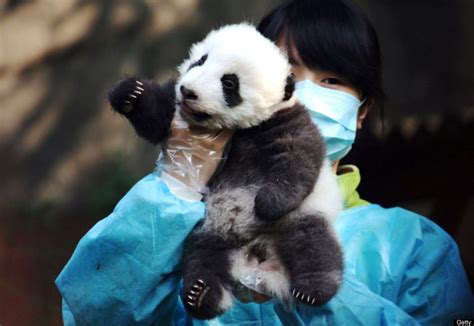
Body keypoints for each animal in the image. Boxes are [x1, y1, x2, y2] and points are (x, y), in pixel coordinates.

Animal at [109, 23, 342, 320]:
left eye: (229, 83)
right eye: (200, 61)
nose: (188, 91)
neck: (238, 129)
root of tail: (256, 252)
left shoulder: (285, 121)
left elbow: (298, 158)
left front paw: (268, 202)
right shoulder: (174, 107)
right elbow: (155, 120)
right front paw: (131, 93)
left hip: (300, 218)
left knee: (313, 246)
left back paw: (313, 289)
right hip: (208, 231)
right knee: (204, 260)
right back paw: (202, 295)